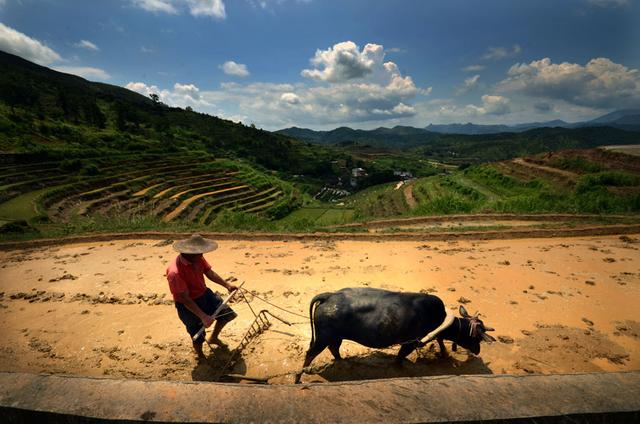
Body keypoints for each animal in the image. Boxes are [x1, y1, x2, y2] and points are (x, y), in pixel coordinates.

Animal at [296, 288, 496, 384]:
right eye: (476, 337)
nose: (478, 350)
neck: (437, 316)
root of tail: (329, 295)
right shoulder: (410, 342)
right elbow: (400, 357)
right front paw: (401, 368)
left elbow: (440, 340)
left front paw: (445, 354)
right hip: (323, 338)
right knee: (310, 354)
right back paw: (298, 378)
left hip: (335, 337)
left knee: (334, 349)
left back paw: (343, 362)